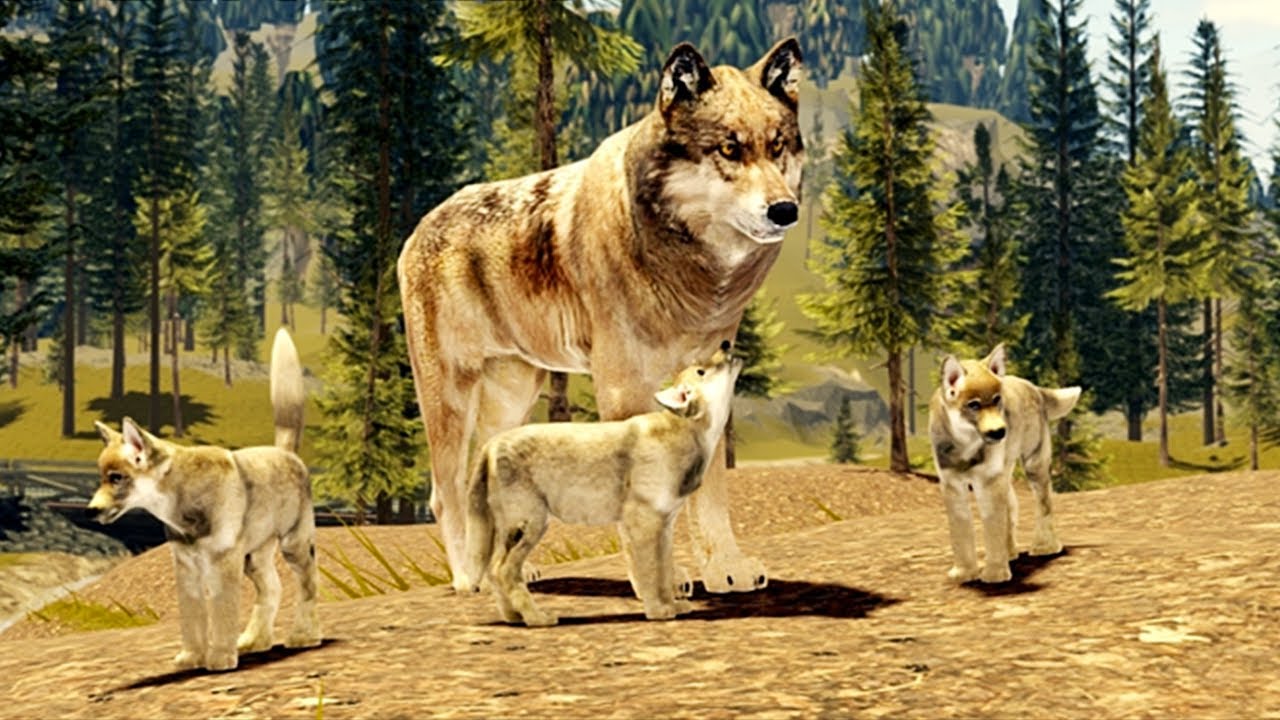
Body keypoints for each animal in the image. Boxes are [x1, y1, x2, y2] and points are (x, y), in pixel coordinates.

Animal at [88, 329, 321, 671]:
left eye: (116, 478)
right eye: (102, 477)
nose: (90, 510)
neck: (184, 501)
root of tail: (286, 452)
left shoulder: (223, 563)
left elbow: (222, 615)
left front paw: (221, 658)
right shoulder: (186, 567)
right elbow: (192, 619)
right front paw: (191, 658)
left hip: (293, 546)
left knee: (307, 586)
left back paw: (304, 636)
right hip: (254, 557)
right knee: (273, 590)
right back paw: (255, 641)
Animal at [398, 38, 803, 595]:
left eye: (777, 146)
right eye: (729, 149)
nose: (785, 210)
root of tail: (420, 226)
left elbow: (711, 493)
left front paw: (727, 568)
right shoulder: (623, 390)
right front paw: (658, 577)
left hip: (512, 398)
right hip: (451, 397)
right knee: (446, 490)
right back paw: (469, 577)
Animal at [464, 350, 742, 626]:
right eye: (701, 371)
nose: (726, 346)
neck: (689, 433)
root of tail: (490, 445)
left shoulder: (664, 526)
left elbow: (664, 572)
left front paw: (672, 605)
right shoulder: (641, 521)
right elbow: (650, 573)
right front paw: (657, 611)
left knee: (494, 570)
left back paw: (513, 616)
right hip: (531, 524)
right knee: (504, 571)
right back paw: (536, 617)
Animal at [928, 344, 1081, 584]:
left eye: (997, 400)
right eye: (974, 405)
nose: (1000, 432)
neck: (966, 445)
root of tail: (1033, 387)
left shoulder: (987, 482)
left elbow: (992, 527)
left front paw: (995, 573)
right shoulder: (952, 485)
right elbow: (961, 530)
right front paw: (964, 572)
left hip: (1034, 464)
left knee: (1044, 502)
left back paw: (1045, 546)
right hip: (1005, 473)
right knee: (1011, 506)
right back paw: (1010, 553)